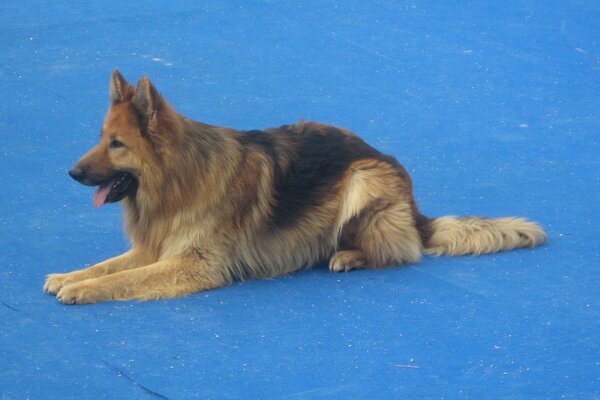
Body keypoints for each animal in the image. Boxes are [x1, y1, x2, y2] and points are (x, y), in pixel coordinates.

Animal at [43, 70, 546, 304]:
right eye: (100, 138)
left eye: (116, 144)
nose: (70, 173)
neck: (179, 178)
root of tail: (416, 208)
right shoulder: (155, 248)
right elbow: (109, 266)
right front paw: (70, 276)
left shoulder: (192, 264)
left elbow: (125, 279)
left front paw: (84, 290)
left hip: (363, 180)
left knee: (397, 252)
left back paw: (348, 256)